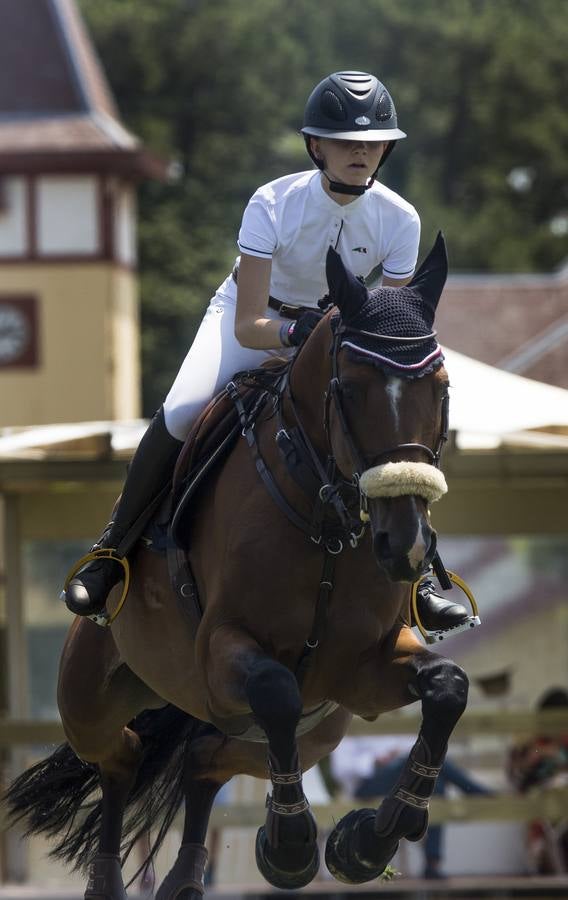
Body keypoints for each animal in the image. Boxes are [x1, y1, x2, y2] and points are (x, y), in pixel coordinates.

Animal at [4, 234, 468, 900]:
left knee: (204, 760)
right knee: (122, 757)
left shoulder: (360, 669)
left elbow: (448, 687)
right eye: (350, 389)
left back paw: (187, 877)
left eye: (442, 388)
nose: (403, 545)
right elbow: (275, 688)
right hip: (89, 699)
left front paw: (368, 840)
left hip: (319, 728)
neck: (324, 521)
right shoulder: (222, 647)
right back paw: (112, 879)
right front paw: (294, 843)